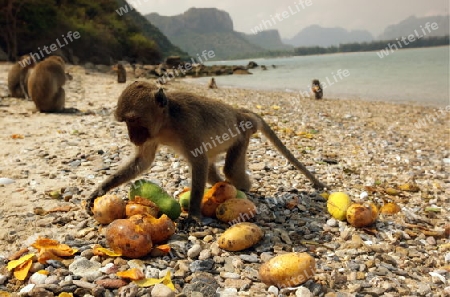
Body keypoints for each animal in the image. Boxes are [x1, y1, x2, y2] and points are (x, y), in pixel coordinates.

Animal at [87, 80, 326, 222]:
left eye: (133, 120)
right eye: (125, 122)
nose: (131, 137)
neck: (167, 121)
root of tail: (240, 113)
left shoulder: (187, 125)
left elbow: (198, 161)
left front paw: (193, 214)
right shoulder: (152, 136)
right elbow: (143, 161)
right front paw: (99, 190)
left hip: (243, 135)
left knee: (230, 170)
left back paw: (244, 190)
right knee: (214, 173)